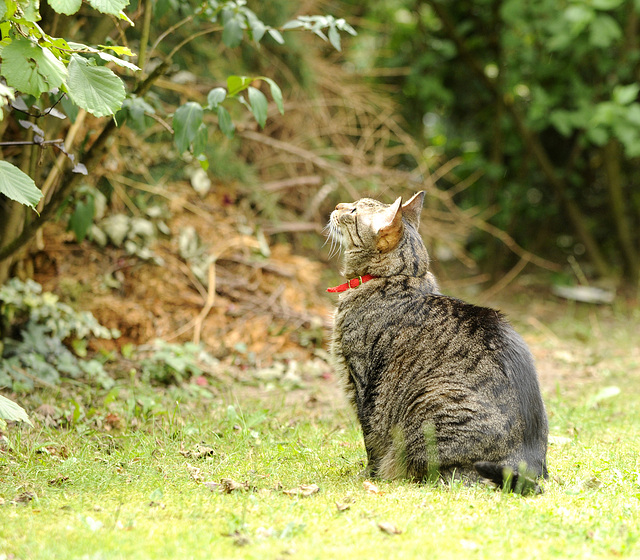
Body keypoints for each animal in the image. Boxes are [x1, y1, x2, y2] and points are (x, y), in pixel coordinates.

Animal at [328, 190, 548, 492]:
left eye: (353, 211)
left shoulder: (361, 382)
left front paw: (369, 476)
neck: (399, 276)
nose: (337, 205)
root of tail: (528, 466)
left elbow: (370, 439)